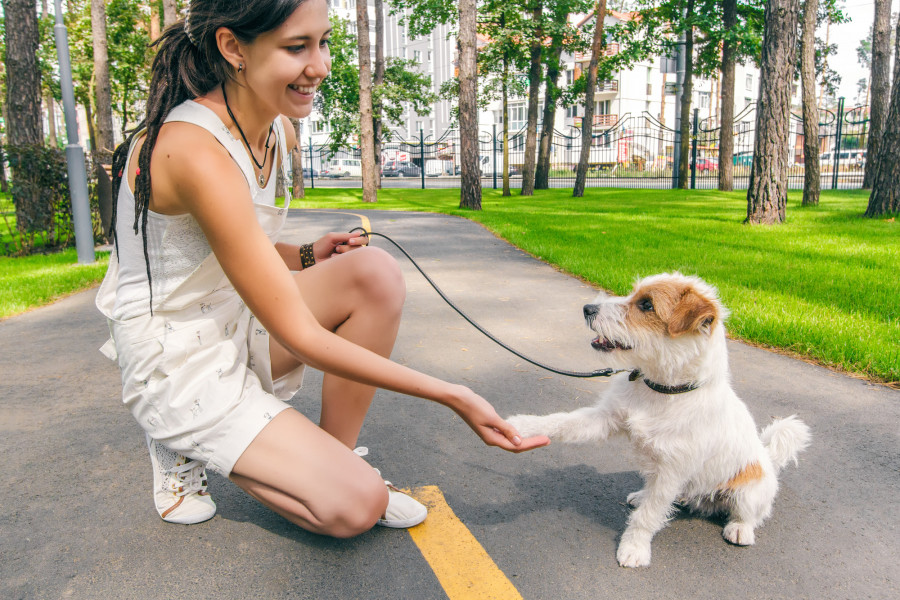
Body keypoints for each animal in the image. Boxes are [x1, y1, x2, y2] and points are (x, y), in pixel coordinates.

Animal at [510, 272, 812, 568]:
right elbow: (561, 422)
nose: (587, 308)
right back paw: (642, 495)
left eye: (647, 305)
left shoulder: (672, 471)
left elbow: (648, 516)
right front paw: (521, 425)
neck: (661, 390)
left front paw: (634, 548)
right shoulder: (605, 419)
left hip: (749, 492)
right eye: (633, 294)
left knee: (750, 514)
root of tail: (768, 458)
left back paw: (740, 529)